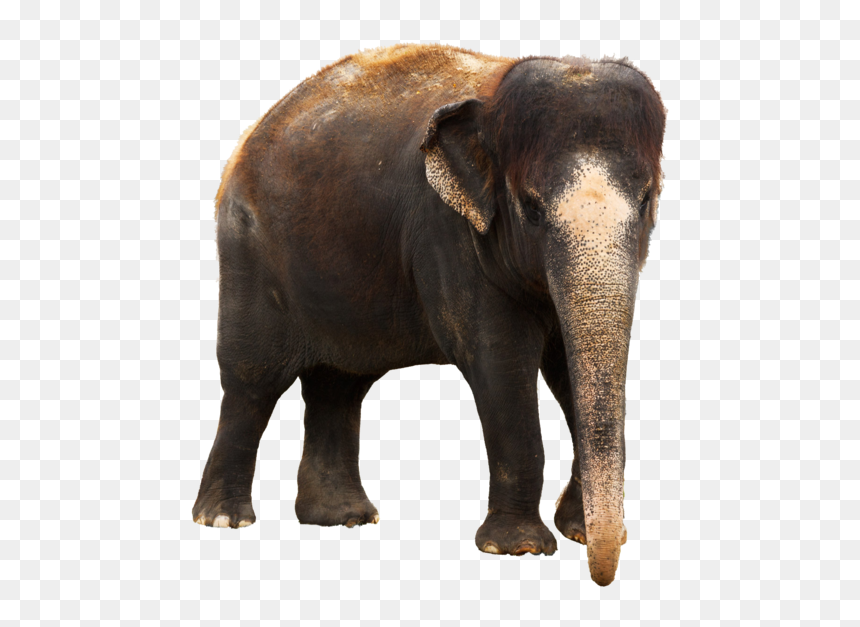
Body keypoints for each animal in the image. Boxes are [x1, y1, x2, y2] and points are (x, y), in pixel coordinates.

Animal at [193, 43, 666, 586]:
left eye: (646, 200)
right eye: (531, 208)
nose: (603, 574)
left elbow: (567, 369)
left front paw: (578, 533)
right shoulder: (448, 233)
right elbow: (498, 363)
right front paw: (518, 549)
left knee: (338, 385)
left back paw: (343, 518)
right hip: (246, 249)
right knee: (252, 381)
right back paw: (224, 520)